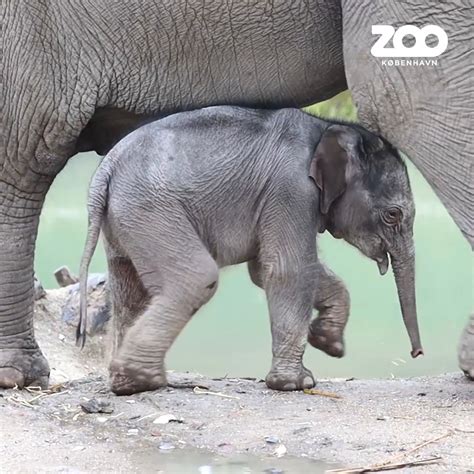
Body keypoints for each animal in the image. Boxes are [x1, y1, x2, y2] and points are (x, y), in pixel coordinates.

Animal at [78, 106, 422, 396]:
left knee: (129, 293)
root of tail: (104, 170)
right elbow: (288, 268)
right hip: (152, 211)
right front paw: (297, 384)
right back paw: (145, 380)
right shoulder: (291, 188)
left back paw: (127, 383)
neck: (325, 127)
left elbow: (265, 269)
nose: (416, 353)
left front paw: (329, 342)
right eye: (393, 215)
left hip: (125, 220)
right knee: (196, 279)